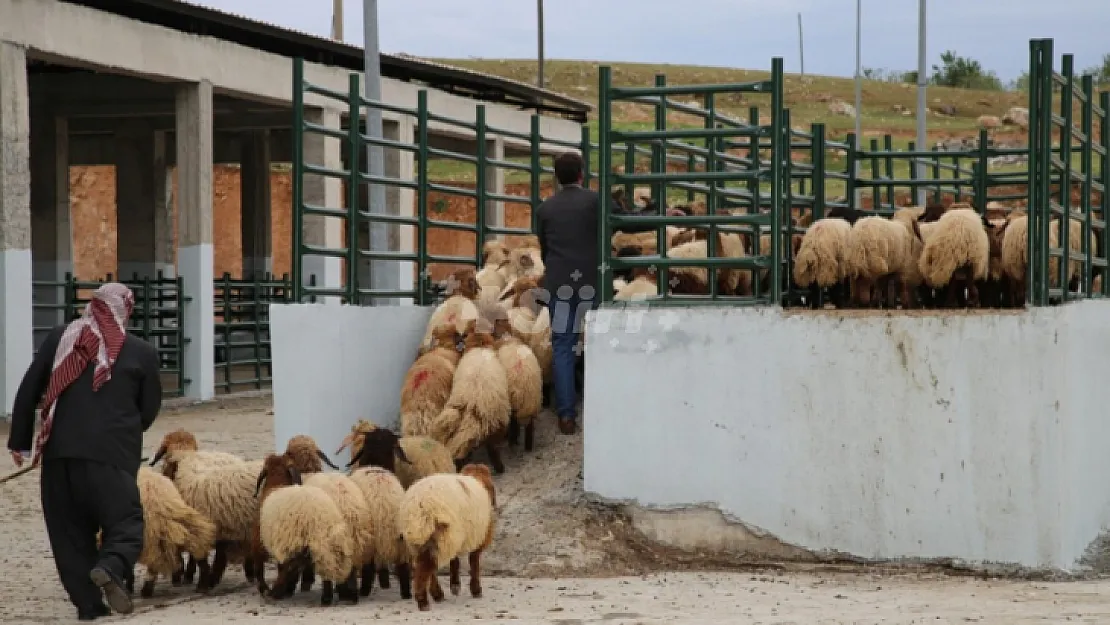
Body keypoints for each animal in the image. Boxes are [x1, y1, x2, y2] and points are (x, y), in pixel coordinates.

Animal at [254, 455, 355, 608]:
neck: (276, 485)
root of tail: (318, 515)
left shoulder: (270, 542)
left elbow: (267, 566)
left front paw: (270, 590)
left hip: (299, 539)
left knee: (292, 566)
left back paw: (276, 592)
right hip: (327, 541)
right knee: (327, 562)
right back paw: (333, 596)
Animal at [399, 464, 495, 612]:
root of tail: (418, 504)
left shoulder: (456, 536)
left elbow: (455, 560)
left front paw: (455, 585)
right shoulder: (478, 537)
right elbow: (474, 562)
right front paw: (476, 589)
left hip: (418, 539)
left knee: (426, 566)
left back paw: (436, 594)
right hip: (439, 534)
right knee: (426, 566)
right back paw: (423, 601)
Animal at [495, 317, 546, 450]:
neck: (506, 336)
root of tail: (523, 380)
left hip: (513, 401)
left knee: (513, 422)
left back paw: (512, 441)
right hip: (533, 400)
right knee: (529, 426)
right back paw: (528, 447)